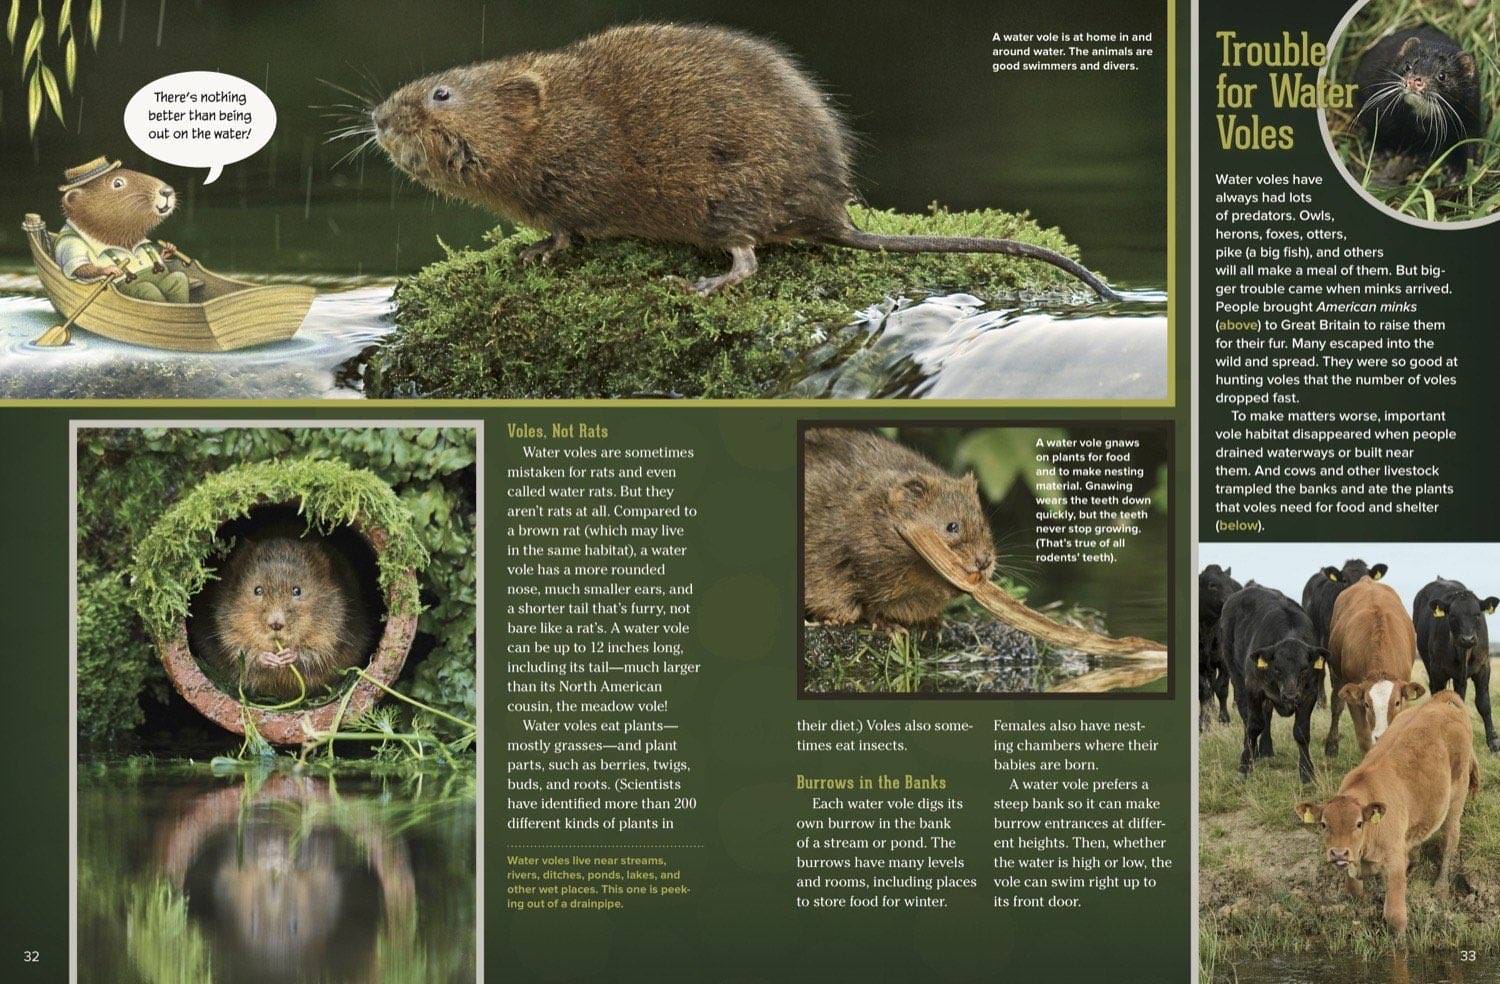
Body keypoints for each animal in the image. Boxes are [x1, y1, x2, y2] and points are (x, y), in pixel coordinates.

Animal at [1198, 564, 1242, 731]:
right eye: (1212, 585)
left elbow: (1222, 688)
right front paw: (1204, 723)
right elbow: (1204, 690)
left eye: (1229, 583)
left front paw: (1224, 720)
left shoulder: (1224, 661)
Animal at [1219, 582, 1327, 783]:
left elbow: (1301, 732)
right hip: (1235, 674)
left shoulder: (1310, 694)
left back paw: (1266, 749)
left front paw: (1306, 772)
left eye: (1304, 669)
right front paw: (1245, 767)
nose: (1290, 696)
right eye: (1277, 669)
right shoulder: (1253, 687)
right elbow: (1254, 725)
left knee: (1267, 714)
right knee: (1246, 717)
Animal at [1296, 690, 1478, 934]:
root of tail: (1437, 702)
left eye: (1359, 823)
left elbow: (1395, 916)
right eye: (1324, 824)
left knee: (1450, 840)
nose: (1339, 853)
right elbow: (1354, 892)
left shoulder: (1393, 863)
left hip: (1456, 800)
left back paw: (1441, 887)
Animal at [1325, 576, 1424, 757]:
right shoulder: (1354, 698)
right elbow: (1365, 739)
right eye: (1367, 704)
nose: (1381, 736)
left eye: (1397, 703)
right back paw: (1332, 745)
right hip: (1336, 676)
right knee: (1336, 704)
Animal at [1414, 577, 1500, 752]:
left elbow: (1484, 703)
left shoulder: (1483, 666)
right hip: (1429, 663)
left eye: (1477, 615)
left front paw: (1493, 742)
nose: (1467, 639)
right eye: (1453, 615)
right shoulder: (1438, 670)